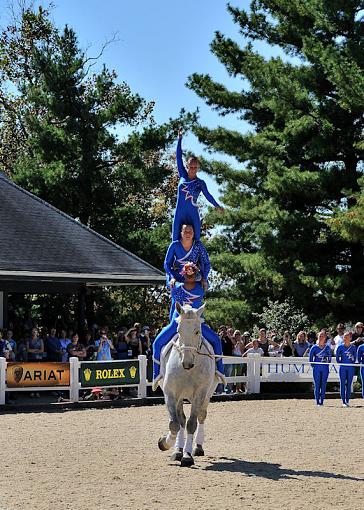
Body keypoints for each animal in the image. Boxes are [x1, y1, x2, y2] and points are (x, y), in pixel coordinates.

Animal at [158, 302, 218, 466]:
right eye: (179, 331)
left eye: (197, 332)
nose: (187, 362)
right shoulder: (170, 394)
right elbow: (175, 424)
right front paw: (166, 443)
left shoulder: (199, 394)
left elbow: (192, 424)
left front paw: (187, 455)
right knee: (181, 421)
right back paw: (178, 449)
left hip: (207, 395)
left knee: (201, 417)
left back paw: (197, 447)